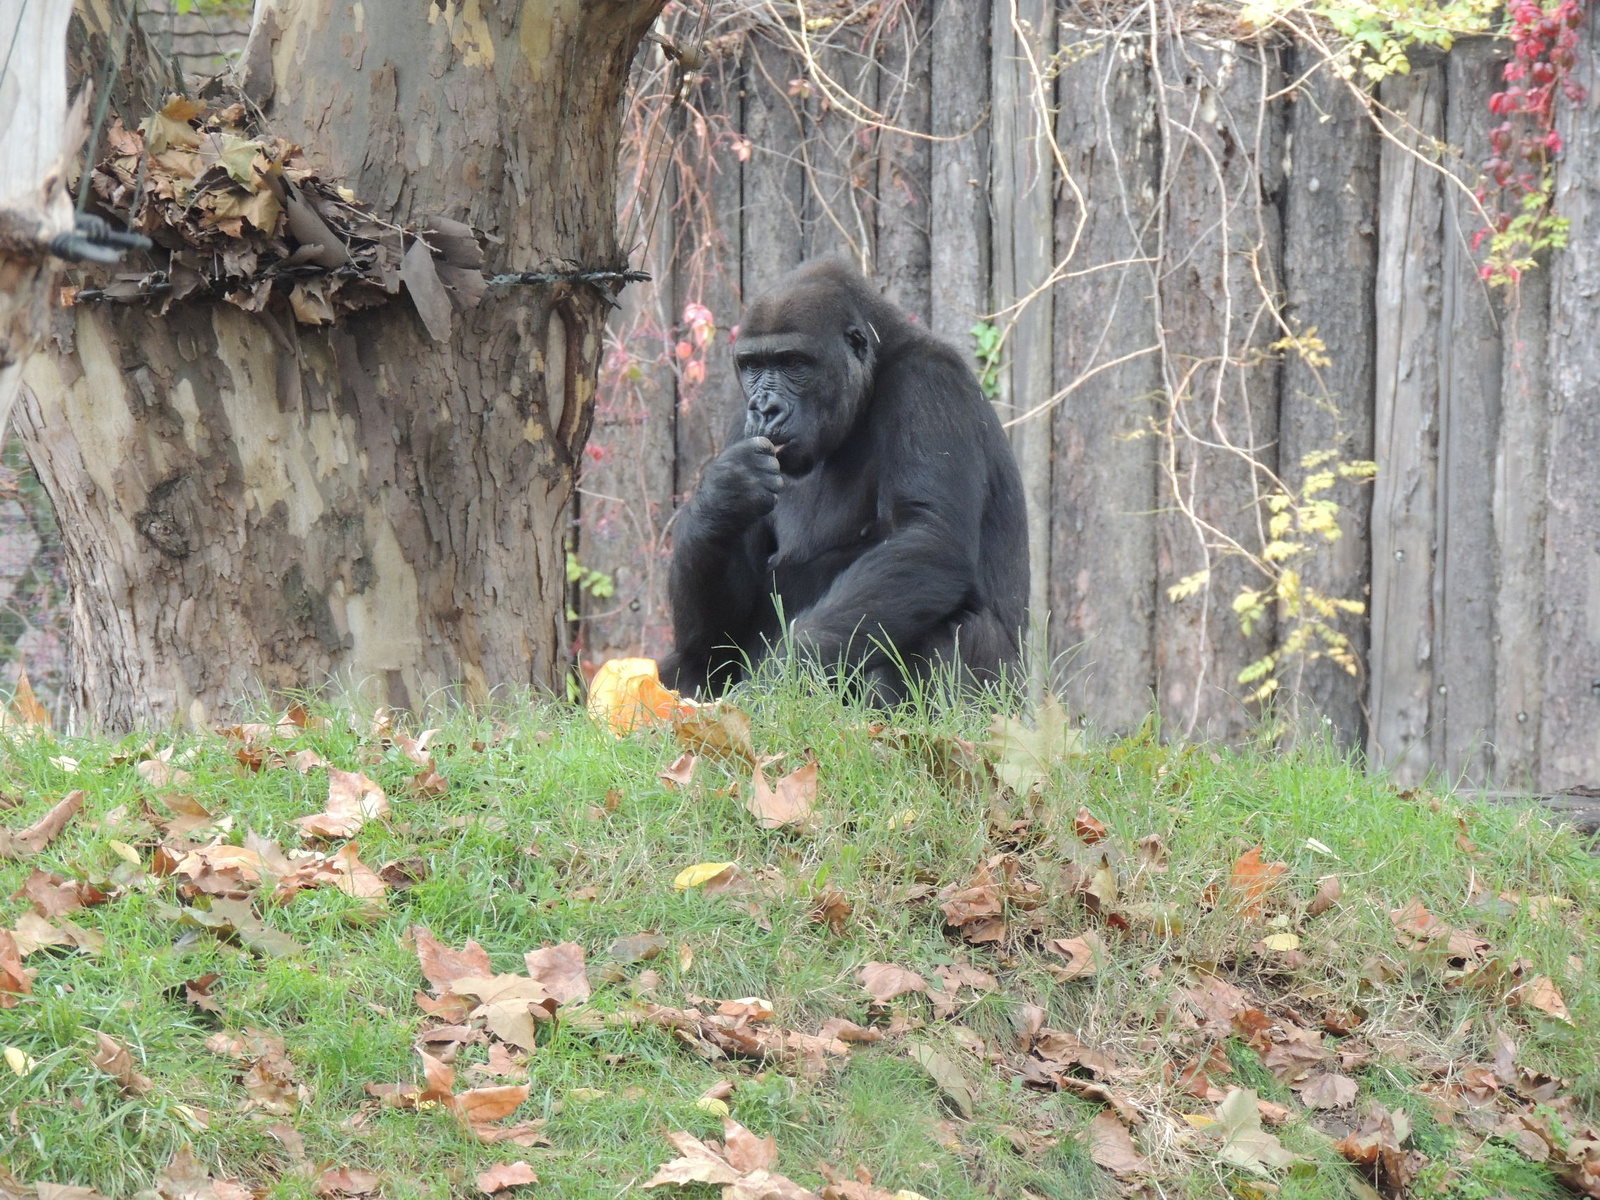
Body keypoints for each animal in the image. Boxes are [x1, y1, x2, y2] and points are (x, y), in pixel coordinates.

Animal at [659, 259, 1024, 700]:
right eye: (752, 366)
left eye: (792, 363)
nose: (764, 408)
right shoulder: (738, 424)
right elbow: (717, 635)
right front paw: (721, 495)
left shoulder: (929, 381)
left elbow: (930, 537)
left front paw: (778, 686)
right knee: (690, 658)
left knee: (944, 623)